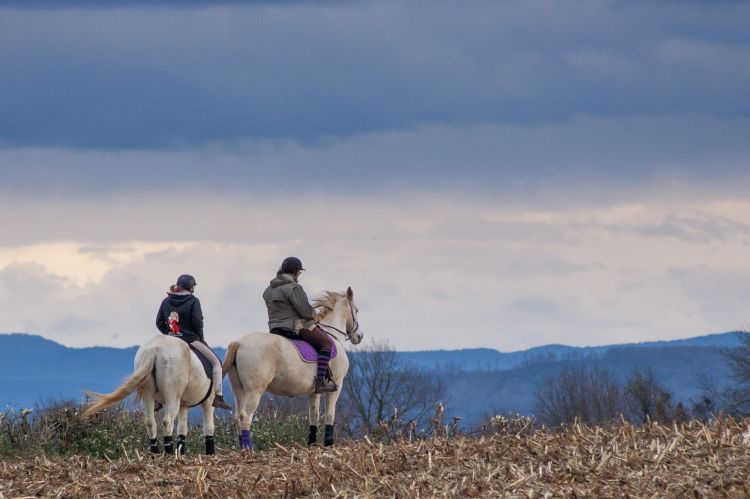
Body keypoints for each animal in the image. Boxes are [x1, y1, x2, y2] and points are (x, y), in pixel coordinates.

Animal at [87, 336, 220, 458]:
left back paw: (155, 452)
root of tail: (155, 347)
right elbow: (209, 427)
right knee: (167, 421)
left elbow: (182, 429)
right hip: (172, 397)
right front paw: (210, 453)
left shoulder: (184, 405)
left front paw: (181, 452)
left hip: (148, 395)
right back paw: (169, 452)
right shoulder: (208, 402)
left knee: (150, 422)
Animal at [223, 288, 364, 452]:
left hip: (239, 389)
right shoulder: (337, 385)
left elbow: (314, 415)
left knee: (238, 416)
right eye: (356, 310)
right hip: (254, 390)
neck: (332, 335)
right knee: (246, 417)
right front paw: (329, 444)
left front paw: (312, 444)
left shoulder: (314, 391)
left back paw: (242, 449)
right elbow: (330, 415)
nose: (359, 336)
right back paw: (249, 449)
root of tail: (239, 342)